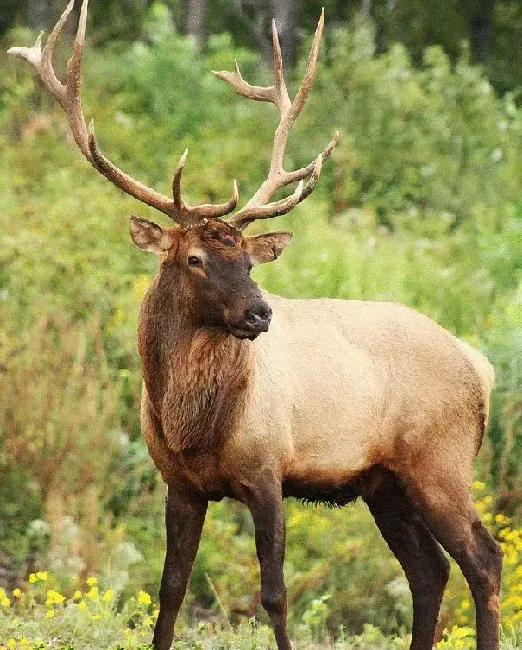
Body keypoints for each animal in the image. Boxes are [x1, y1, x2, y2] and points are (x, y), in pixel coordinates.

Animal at [10, 1, 502, 648]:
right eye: (194, 258)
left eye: (248, 260)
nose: (261, 312)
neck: (193, 427)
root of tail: (480, 365)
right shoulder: (179, 484)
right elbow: (170, 590)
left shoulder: (269, 469)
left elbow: (274, 594)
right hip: (385, 482)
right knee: (430, 571)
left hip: (441, 460)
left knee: (482, 559)